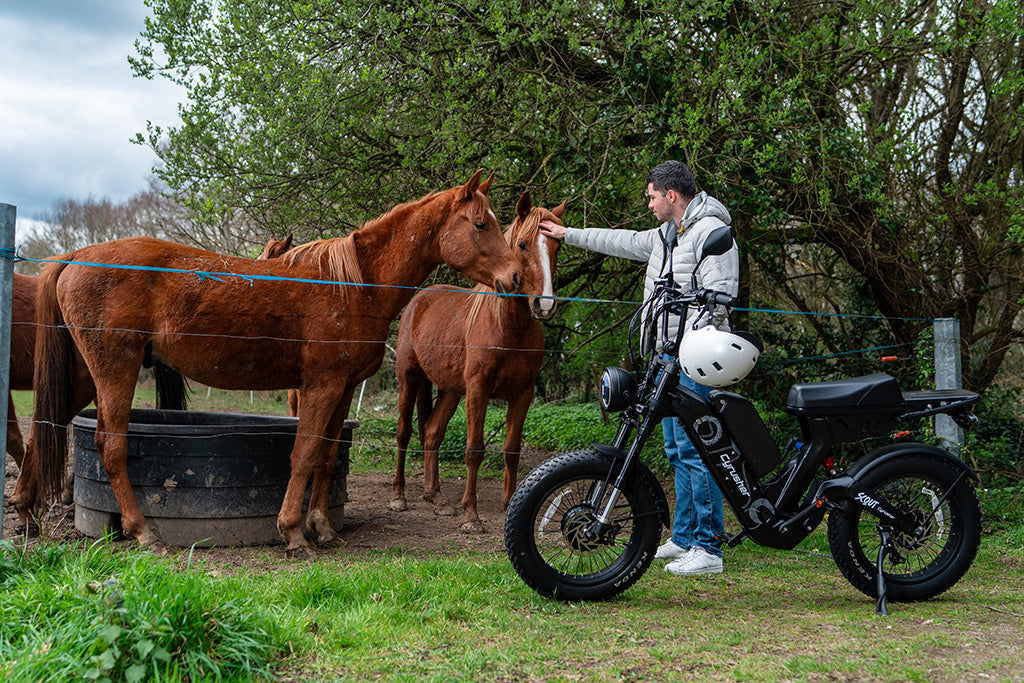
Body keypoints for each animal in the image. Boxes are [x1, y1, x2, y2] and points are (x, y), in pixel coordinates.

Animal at [18, 169, 520, 557]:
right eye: (480, 224)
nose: (515, 278)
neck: (353, 286)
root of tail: (76, 256)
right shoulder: (320, 386)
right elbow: (303, 455)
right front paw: (293, 533)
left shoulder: (341, 388)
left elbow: (326, 456)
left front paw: (322, 528)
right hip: (114, 372)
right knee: (110, 446)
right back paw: (142, 532)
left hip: (83, 377)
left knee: (42, 431)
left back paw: (26, 515)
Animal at [389, 191, 569, 532]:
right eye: (522, 244)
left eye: (557, 246)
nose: (545, 304)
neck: (508, 328)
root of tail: (419, 299)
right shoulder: (478, 389)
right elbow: (474, 450)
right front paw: (471, 515)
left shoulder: (523, 393)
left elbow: (512, 449)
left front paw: (509, 503)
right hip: (409, 377)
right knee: (404, 432)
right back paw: (399, 496)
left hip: (450, 390)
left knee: (432, 432)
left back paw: (435, 496)